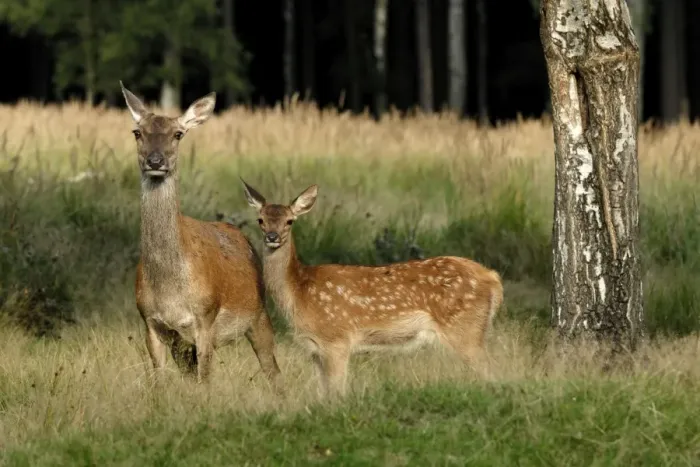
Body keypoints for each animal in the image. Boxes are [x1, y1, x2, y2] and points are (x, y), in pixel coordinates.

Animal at [119, 82, 282, 391]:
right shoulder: (150, 321)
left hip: (259, 314)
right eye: (137, 132)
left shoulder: (205, 318)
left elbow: (205, 381)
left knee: (273, 369)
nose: (155, 161)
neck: (170, 291)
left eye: (178, 134)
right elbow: (159, 382)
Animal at [240, 179, 504, 398]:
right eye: (261, 219)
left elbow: (337, 394)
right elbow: (323, 395)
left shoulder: (337, 339)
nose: (272, 237)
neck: (298, 292)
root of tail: (492, 278)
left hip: (465, 329)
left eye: (290, 221)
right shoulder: (314, 349)